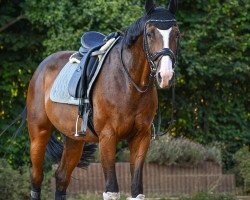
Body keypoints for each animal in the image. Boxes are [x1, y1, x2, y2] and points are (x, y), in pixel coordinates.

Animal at [27, 0, 180, 198]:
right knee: (36, 178)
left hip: (74, 139)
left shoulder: (141, 137)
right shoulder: (108, 137)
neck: (128, 82)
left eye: (177, 33)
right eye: (149, 33)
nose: (166, 75)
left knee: (61, 178)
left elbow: (137, 191)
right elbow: (111, 190)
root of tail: (42, 68)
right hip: (39, 132)